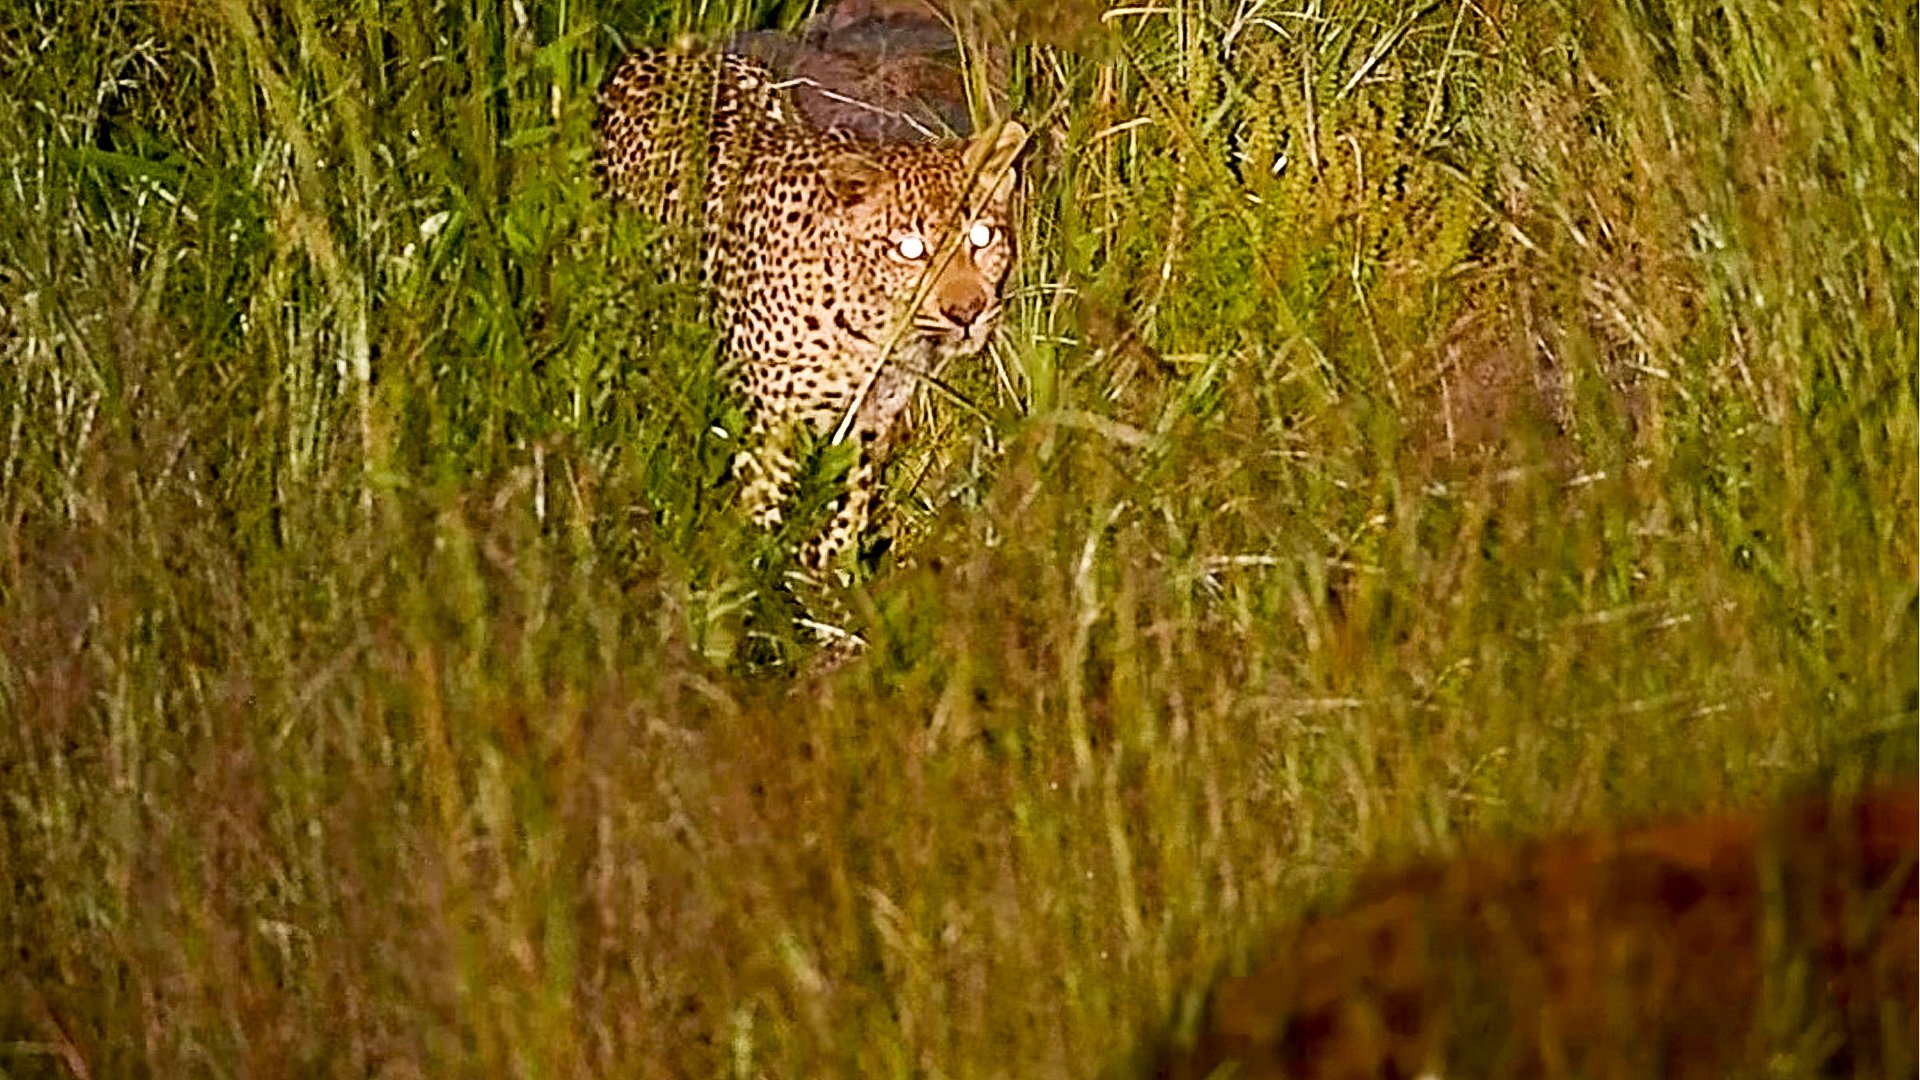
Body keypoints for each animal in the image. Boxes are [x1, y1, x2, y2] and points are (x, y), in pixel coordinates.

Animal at [597, 47, 1026, 573]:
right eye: (910, 249)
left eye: (981, 238)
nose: (967, 311)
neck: (878, 332)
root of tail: (659, 52)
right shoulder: (773, 422)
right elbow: (761, 500)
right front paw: (752, 570)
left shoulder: (870, 422)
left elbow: (853, 500)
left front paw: (832, 566)